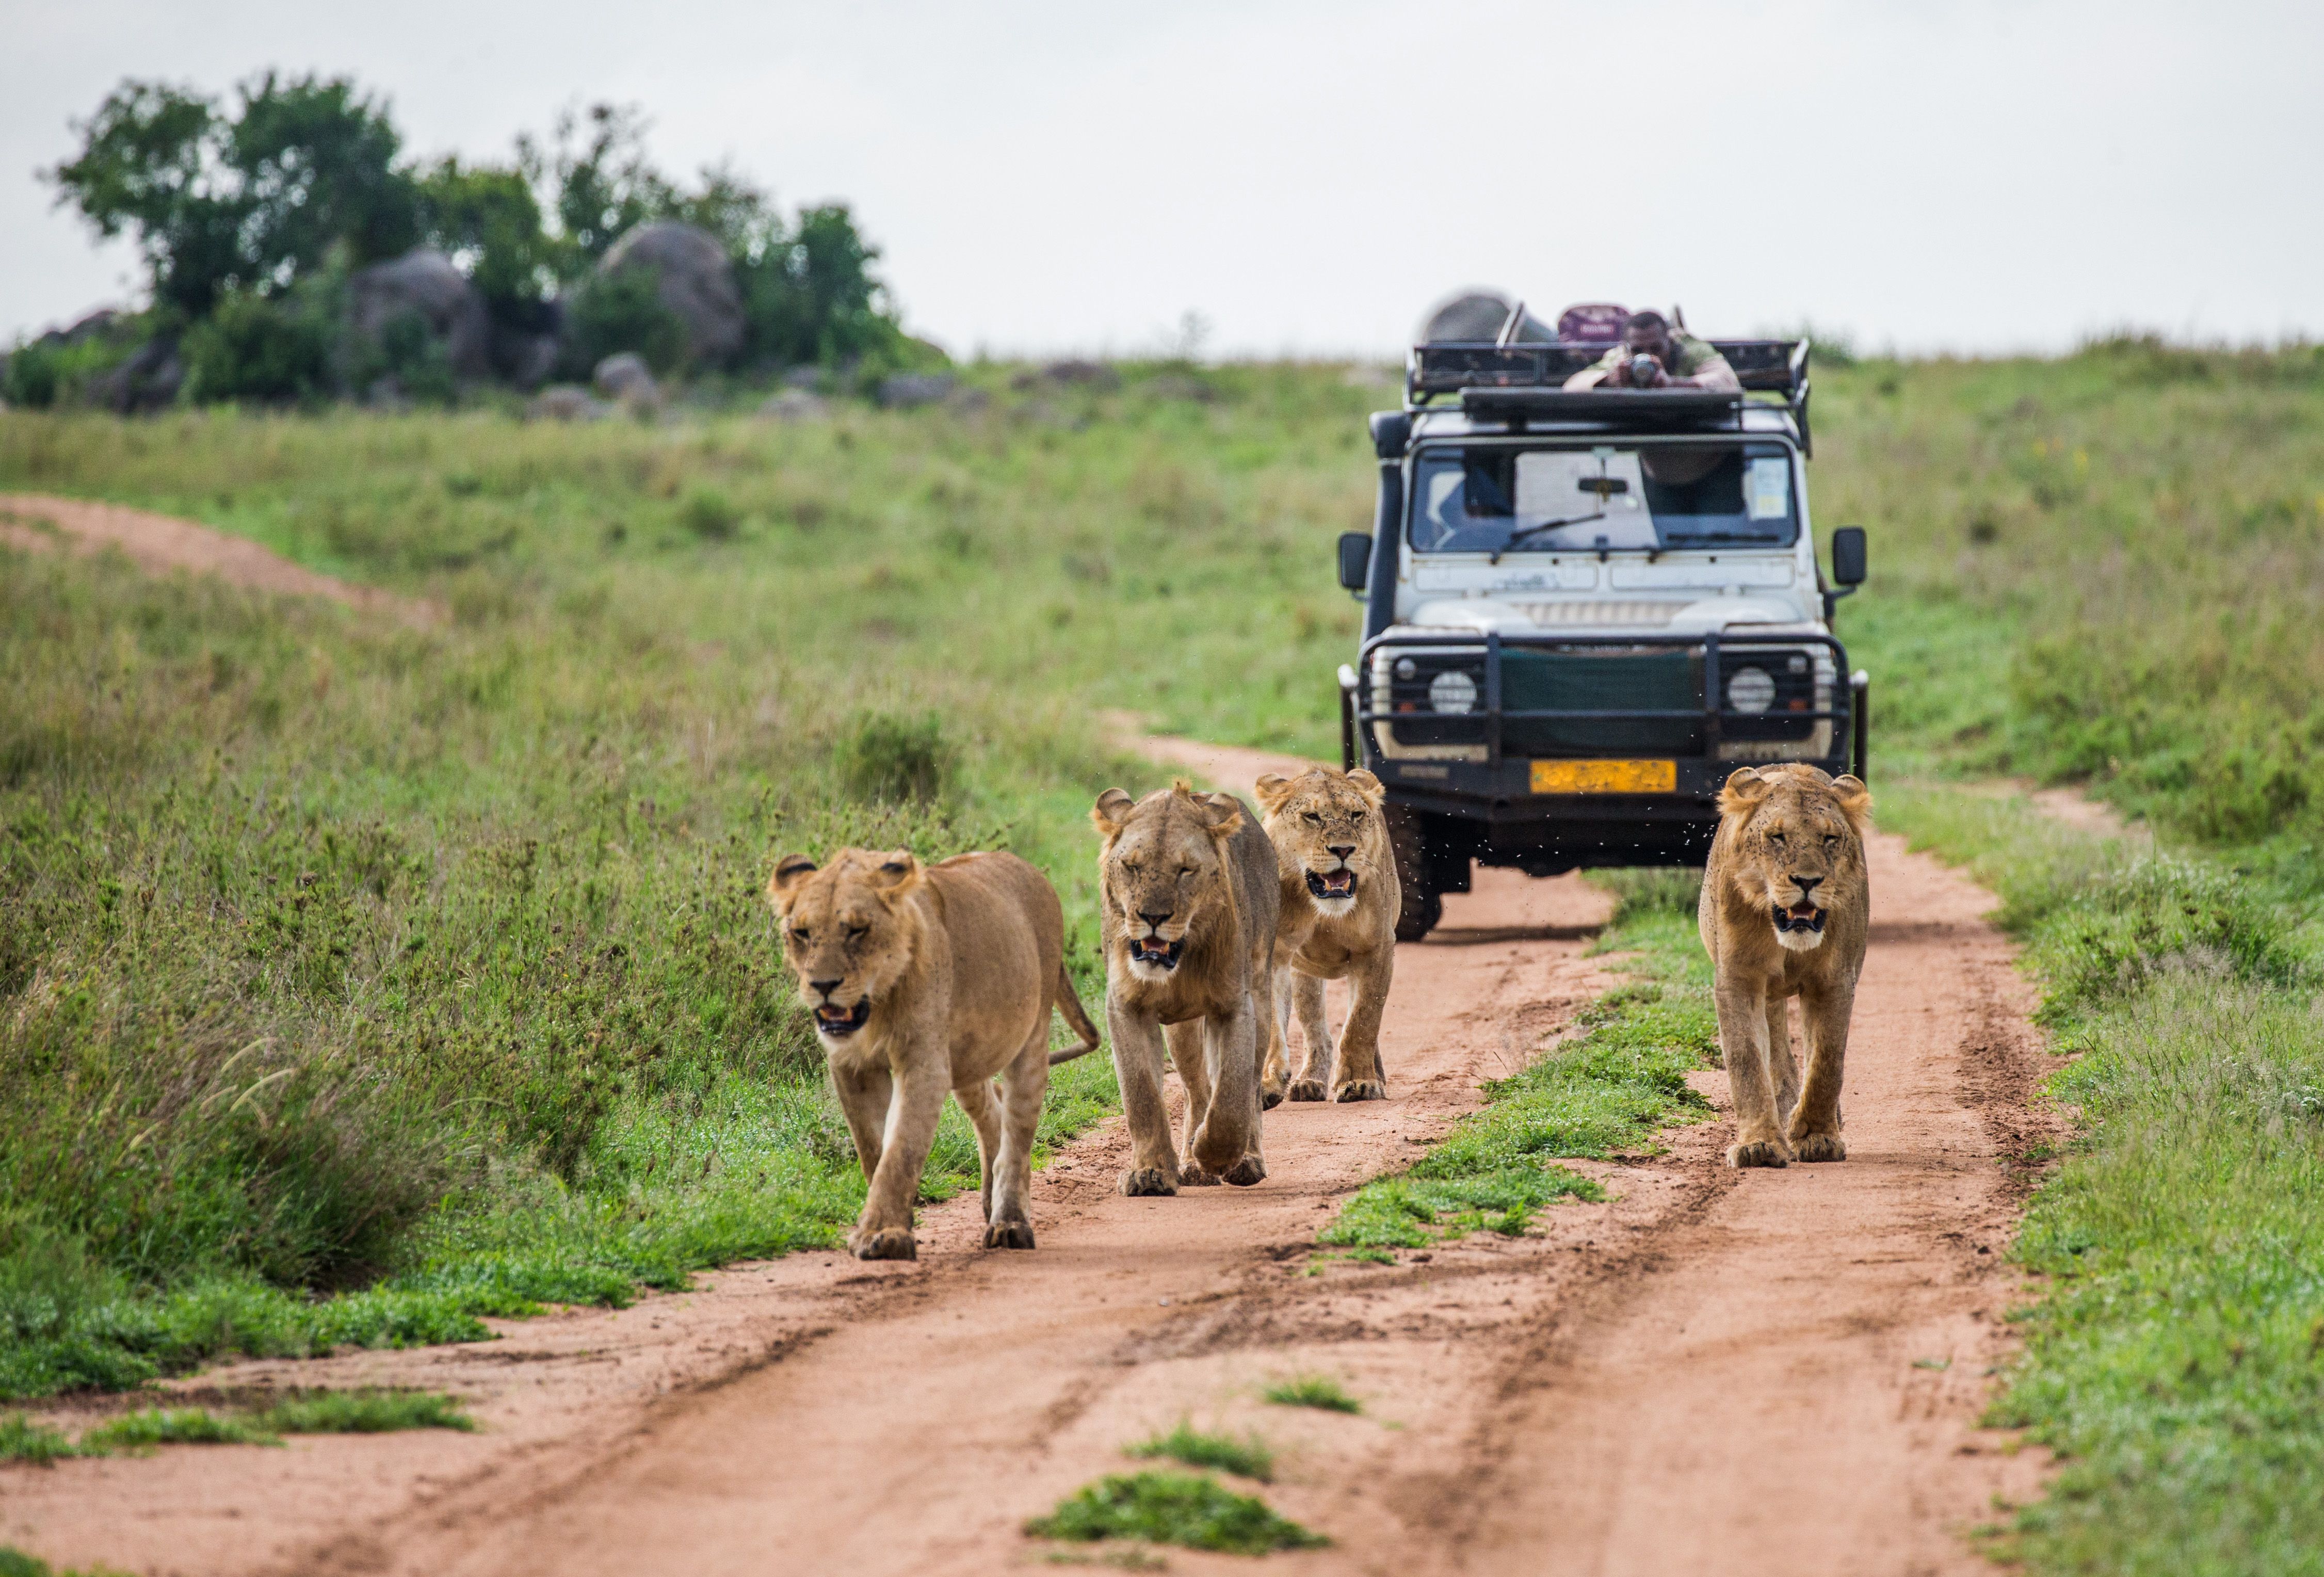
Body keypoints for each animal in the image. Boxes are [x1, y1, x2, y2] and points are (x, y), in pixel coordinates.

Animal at [767, 847, 1102, 1260]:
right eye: (801, 933)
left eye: (858, 930)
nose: (823, 985)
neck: (878, 1004)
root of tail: (1031, 870)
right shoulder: (850, 1067)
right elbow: (873, 1149)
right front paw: (895, 1225)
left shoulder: (924, 1065)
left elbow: (902, 1150)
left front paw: (882, 1235)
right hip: (969, 1058)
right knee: (992, 1113)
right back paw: (990, 1203)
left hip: (1031, 1039)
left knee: (1017, 1139)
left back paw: (1010, 1223)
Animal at [1091, 781, 1280, 1194]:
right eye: (1132, 867)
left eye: (1185, 870)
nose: (1153, 917)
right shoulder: (1125, 1006)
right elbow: (1142, 1094)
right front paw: (1150, 1173)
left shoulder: (1235, 1006)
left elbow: (1232, 1095)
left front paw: (1216, 1155)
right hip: (1183, 1029)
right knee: (1197, 1089)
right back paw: (1192, 1163)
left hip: (1261, 995)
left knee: (1249, 1088)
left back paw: (1242, 1161)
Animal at [1253, 767, 1399, 1105]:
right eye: (1312, 817)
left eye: (1357, 815)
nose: (1344, 850)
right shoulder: (1274, 954)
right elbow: (1272, 1025)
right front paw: (1268, 1084)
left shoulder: (1377, 949)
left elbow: (1362, 1022)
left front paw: (1359, 1082)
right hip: (1304, 975)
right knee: (1316, 1032)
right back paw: (1308, 1082)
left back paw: (1375, 1077)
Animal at [1698, 763, 1872, 1169]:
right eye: (1777, 837)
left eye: (1829, 838)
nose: (1807, 881)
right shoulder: (1738, 979)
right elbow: (1746, 1060)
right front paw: (1759, 1145)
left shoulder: (1835, 982)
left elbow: (1826, 1062)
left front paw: (1817, 1136)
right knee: (1775, 1046)